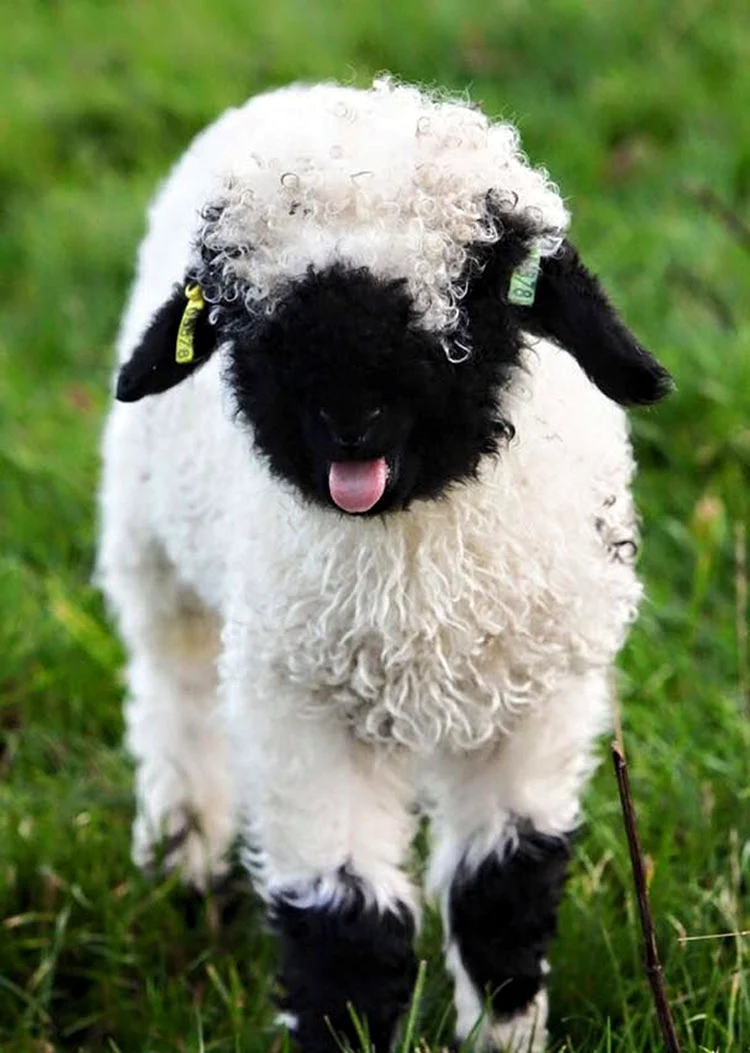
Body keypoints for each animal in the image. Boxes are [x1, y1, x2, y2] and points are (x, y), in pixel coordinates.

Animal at [98, 76, 671, 1053]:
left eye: (477, 292)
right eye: (251, 314)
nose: (348, 416)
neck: (411, 573)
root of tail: (312, 87)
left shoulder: (537, 699)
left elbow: (502, 885)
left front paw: (504, 1031)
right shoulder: (303, 706)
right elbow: (343, 919)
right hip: (154, 555)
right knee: (175, 694)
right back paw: (183, 848)